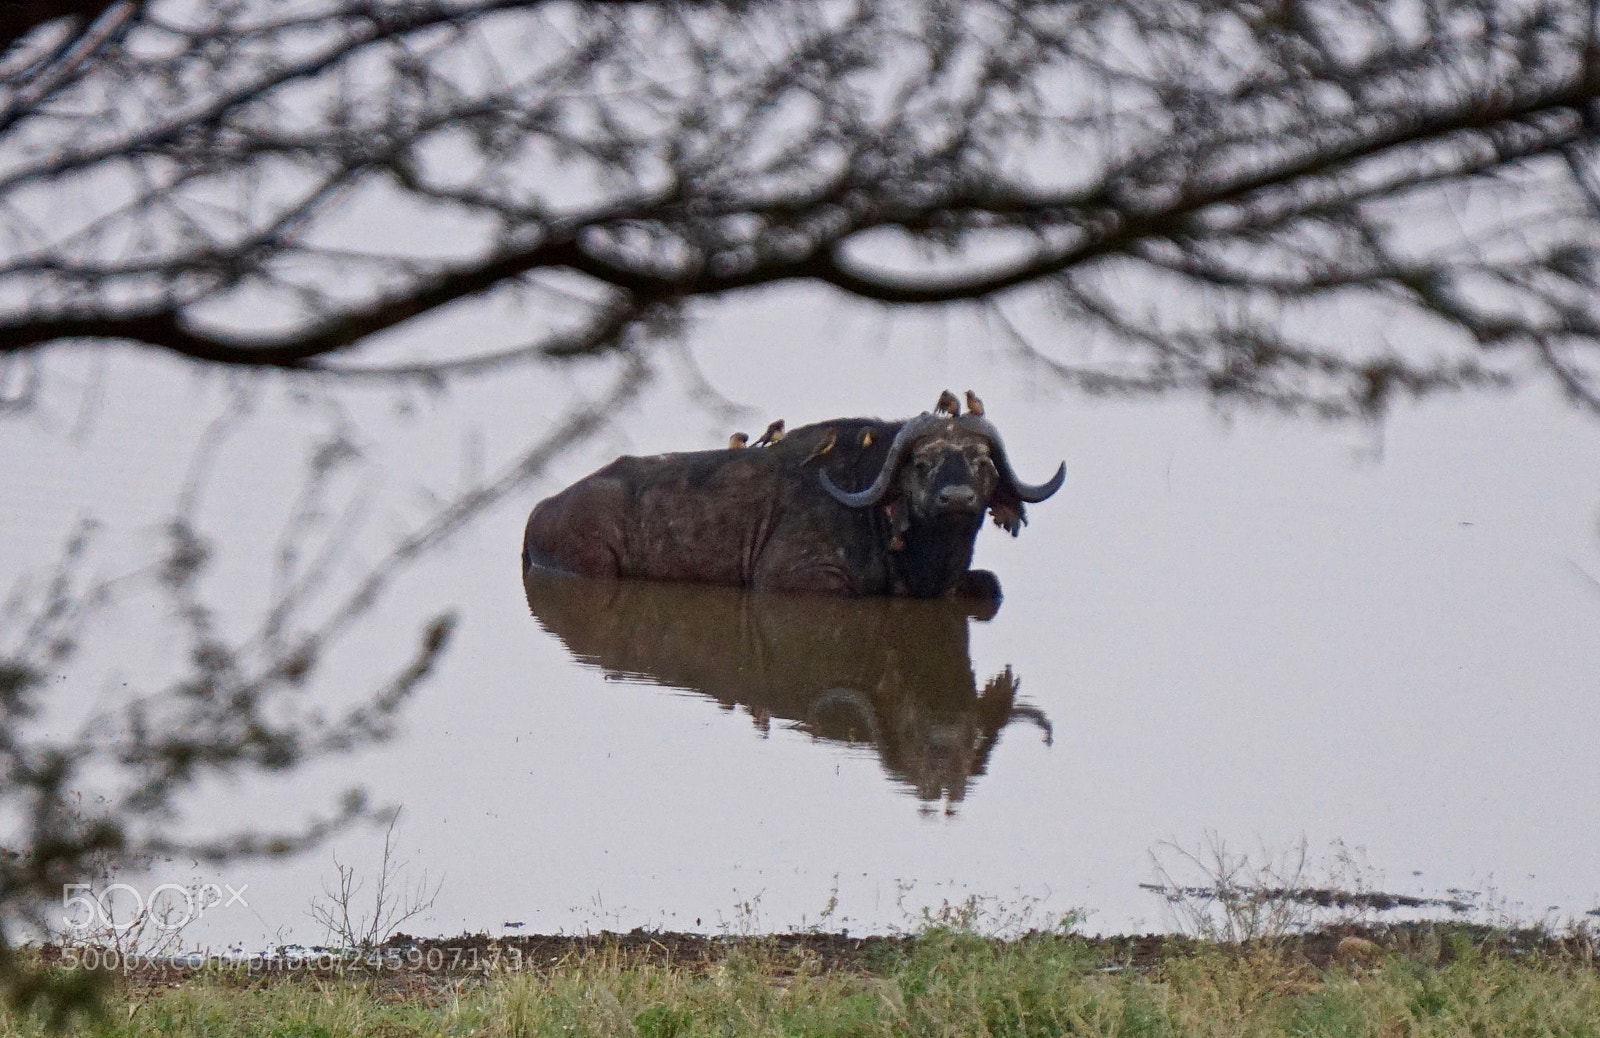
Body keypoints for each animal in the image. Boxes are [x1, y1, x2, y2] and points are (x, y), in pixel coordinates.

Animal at [521, 411, 1065, 598]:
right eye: (921, 463)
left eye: (981, 461)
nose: (957, 498)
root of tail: (540, 511)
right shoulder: (797, 579)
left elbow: (990, 588)